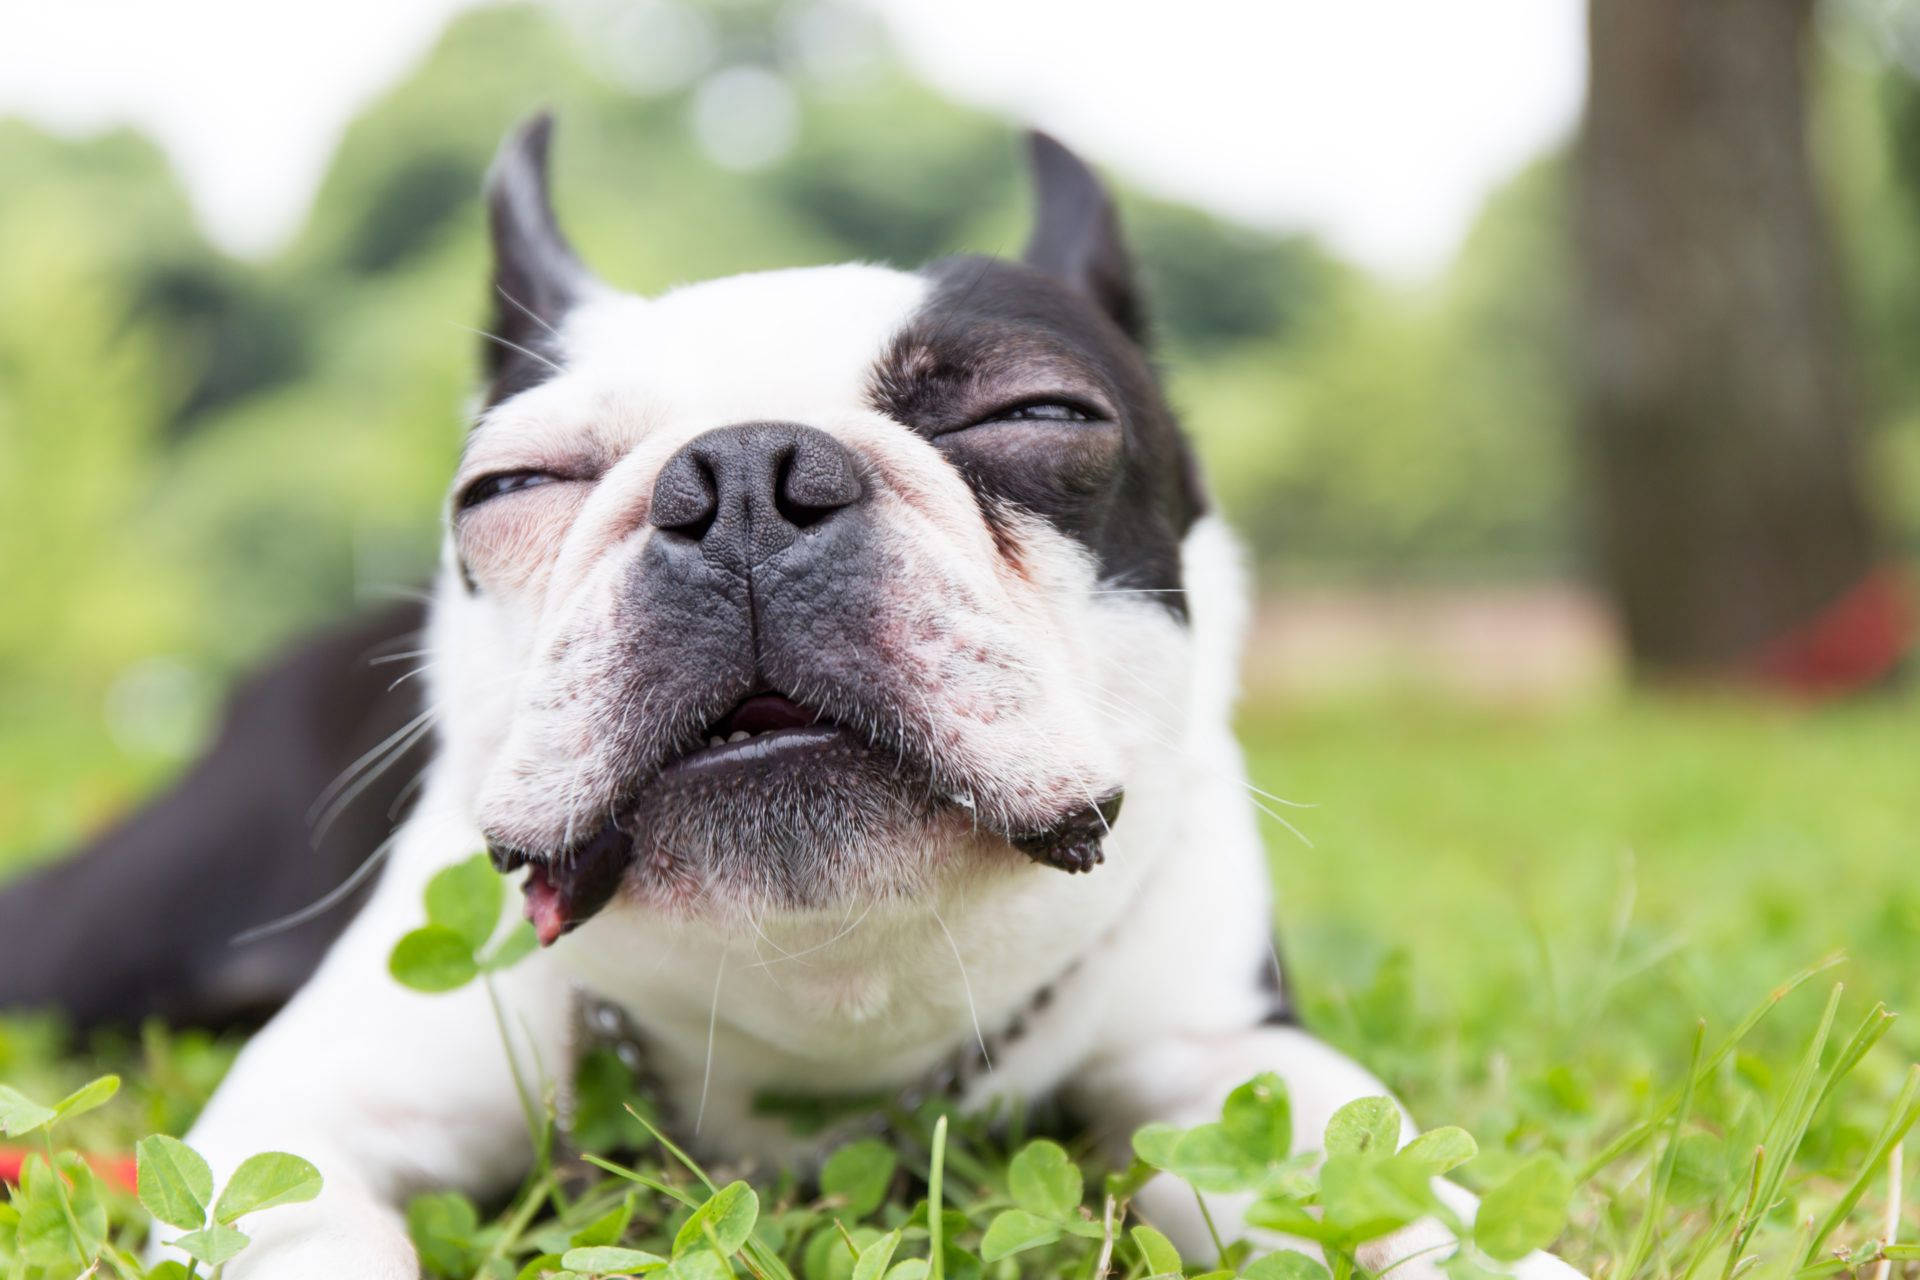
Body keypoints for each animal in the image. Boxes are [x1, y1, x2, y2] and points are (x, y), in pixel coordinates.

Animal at [108, 115, 1589, 1274]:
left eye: (1038, 415)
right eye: (510, 487)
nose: (741, 475)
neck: (825, 991)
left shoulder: (1220, 1049)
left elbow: (1375, 1173)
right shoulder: (311, 1113)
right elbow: (294, 1218)